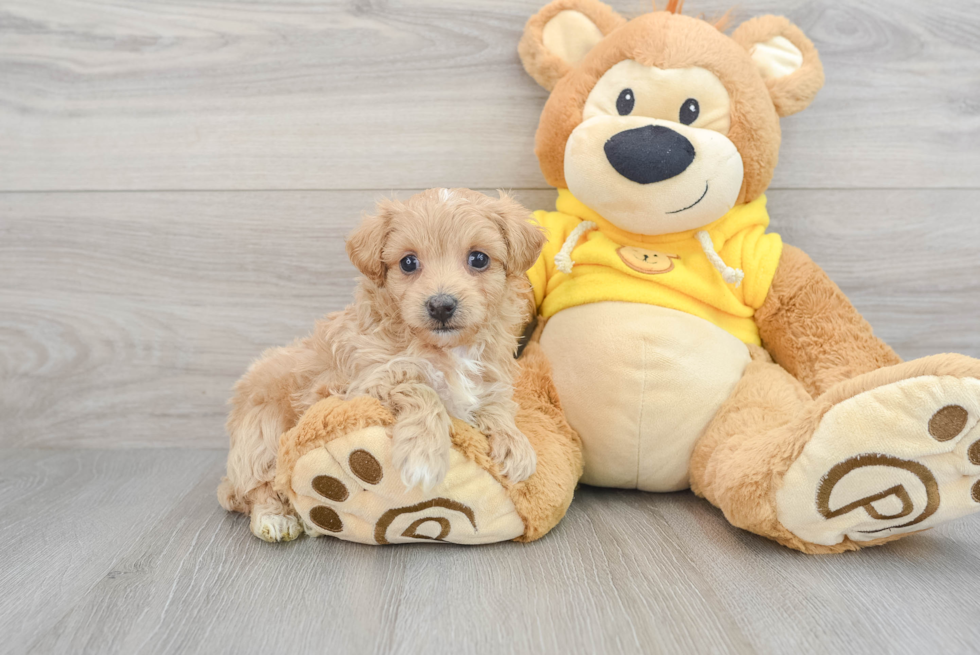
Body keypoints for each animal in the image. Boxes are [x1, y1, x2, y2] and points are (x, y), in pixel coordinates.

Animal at [217, 187, 548, 540]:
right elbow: (418, 386)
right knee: (258, 487)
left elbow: (495, 404)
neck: (446, 349)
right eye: (408, 262)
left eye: (479, 259)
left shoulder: (489, 374)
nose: (441, 305)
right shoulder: (363, 382)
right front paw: (423, 453)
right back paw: (276, 519)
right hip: (261, 433)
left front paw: (514, 444)